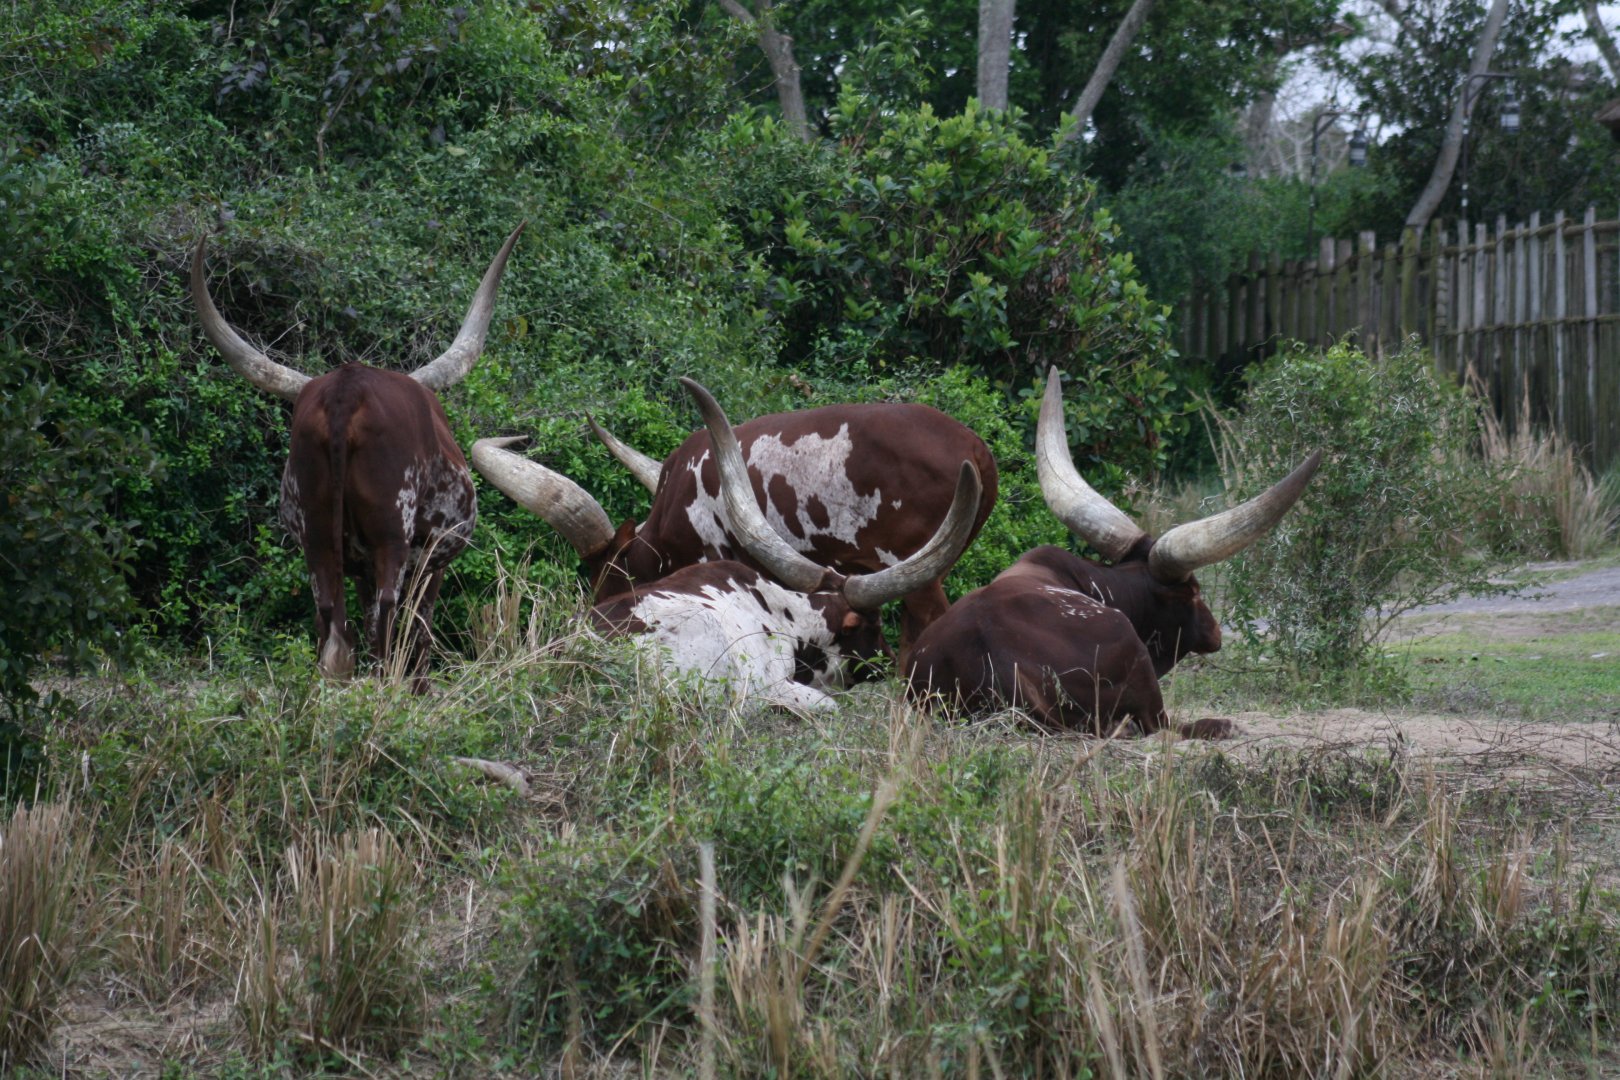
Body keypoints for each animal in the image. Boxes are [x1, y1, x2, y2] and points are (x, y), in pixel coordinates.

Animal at [192, 223, 525, 685]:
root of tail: (344, 393)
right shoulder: (432, 560)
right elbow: (419, 627)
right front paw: (419, 686)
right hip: (392, 535)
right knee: (386, 614)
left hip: (315, 537)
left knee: (331, 615)